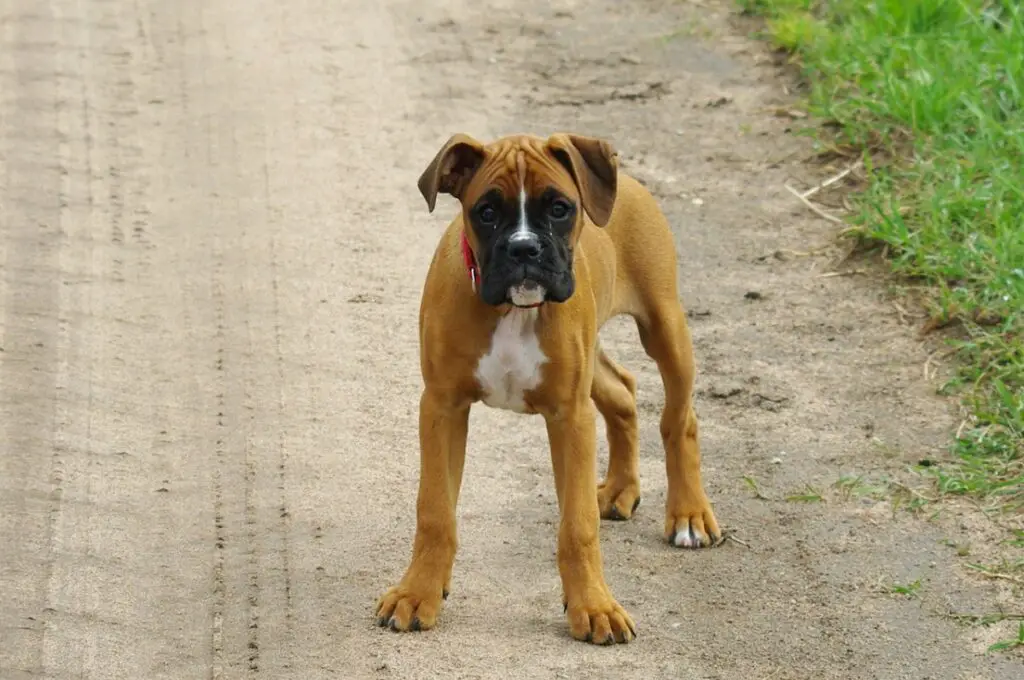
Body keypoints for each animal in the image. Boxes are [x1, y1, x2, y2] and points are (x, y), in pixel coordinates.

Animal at [376, 131, 720, 643]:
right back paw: (621, 490)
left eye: (560, 208)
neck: (512, 311)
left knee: (680, 419)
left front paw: (594, 606)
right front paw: (418, 592)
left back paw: (689, 515)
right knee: (623, 391)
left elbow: (577, 526)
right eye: (486, 211)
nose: (524, 250)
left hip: (665, 328)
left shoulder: (569, 417)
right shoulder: (442, 407)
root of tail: (627, 181)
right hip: (595, 361)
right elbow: (434, 511)